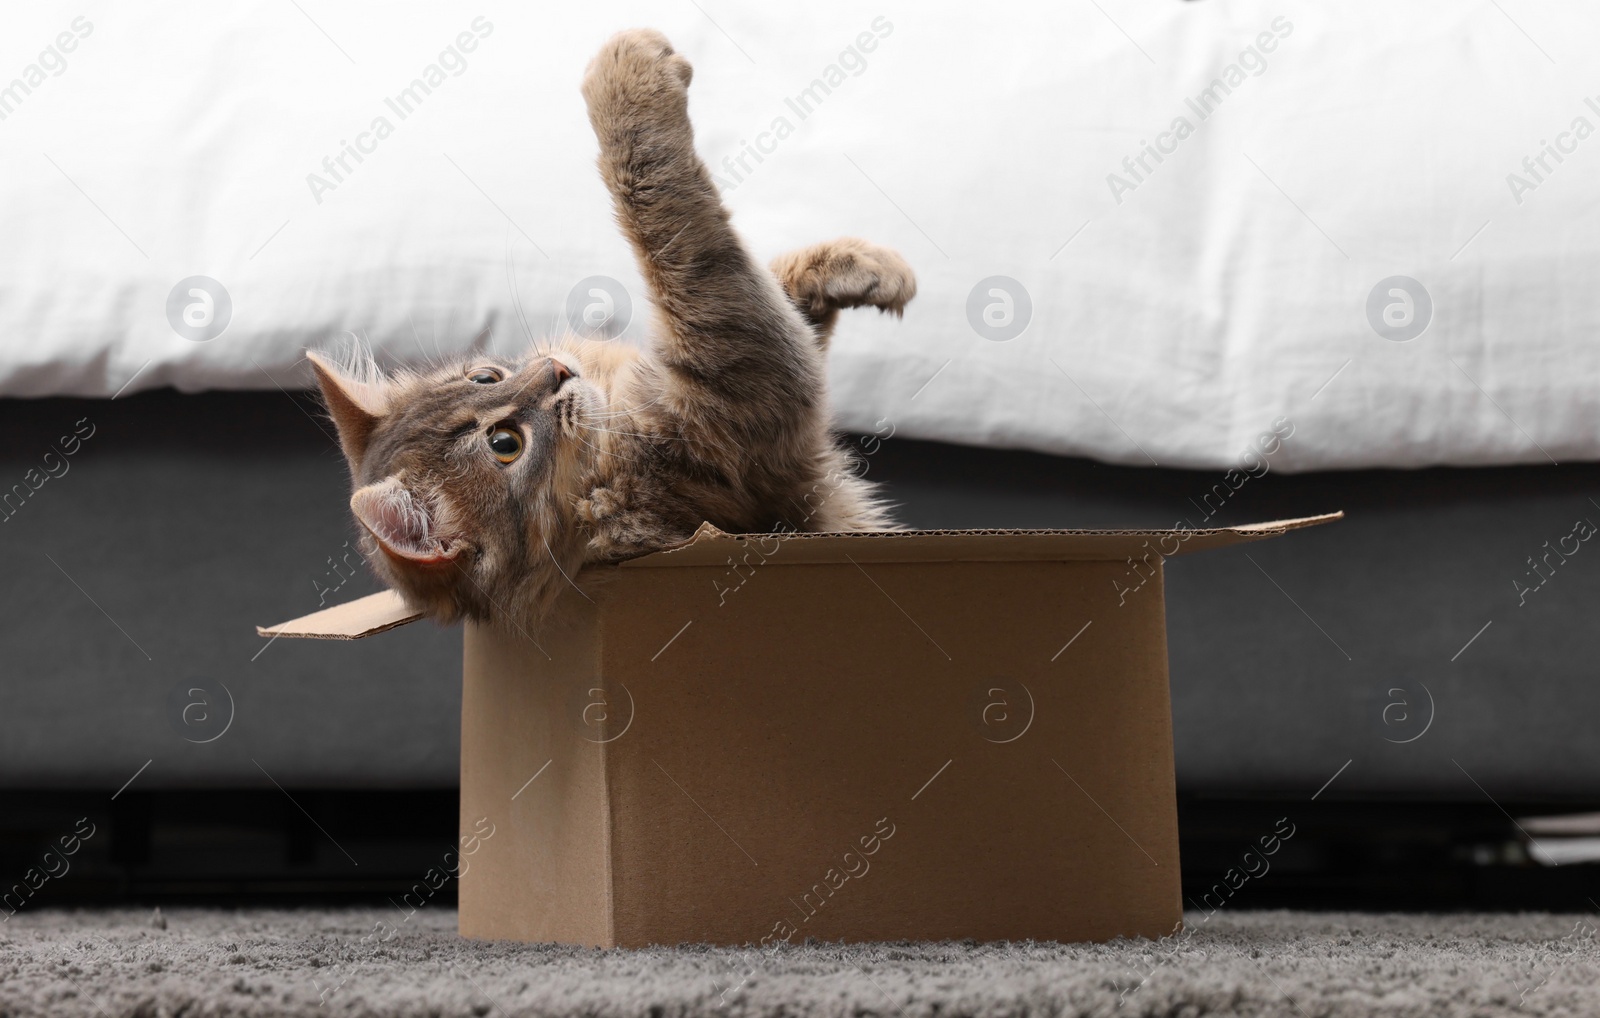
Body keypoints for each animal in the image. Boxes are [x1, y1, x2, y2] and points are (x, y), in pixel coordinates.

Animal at [308, 29, 915, 627]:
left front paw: (866, 267)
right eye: (505, 444)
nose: (555, 369)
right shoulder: (734, 389)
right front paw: (626, 69)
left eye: (485, 376)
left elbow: (779, 286)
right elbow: (679, 224)